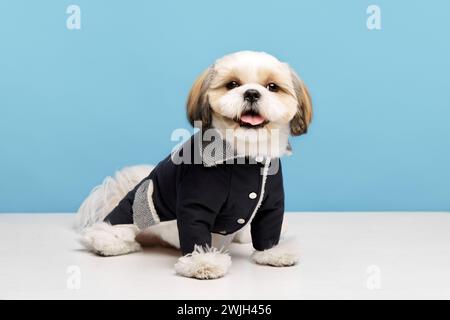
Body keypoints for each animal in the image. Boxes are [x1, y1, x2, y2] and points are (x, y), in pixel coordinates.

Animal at [74, 50, 312, 280]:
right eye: (232, 84)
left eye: (272, 87)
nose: (252, 93)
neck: (244, 155)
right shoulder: (195, 200)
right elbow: (195, 229)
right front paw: (202, 263)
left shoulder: (271, 202)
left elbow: (268, 226)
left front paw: (271, 253)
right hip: (132, 212)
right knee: (112, 228)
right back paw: (108, 242)